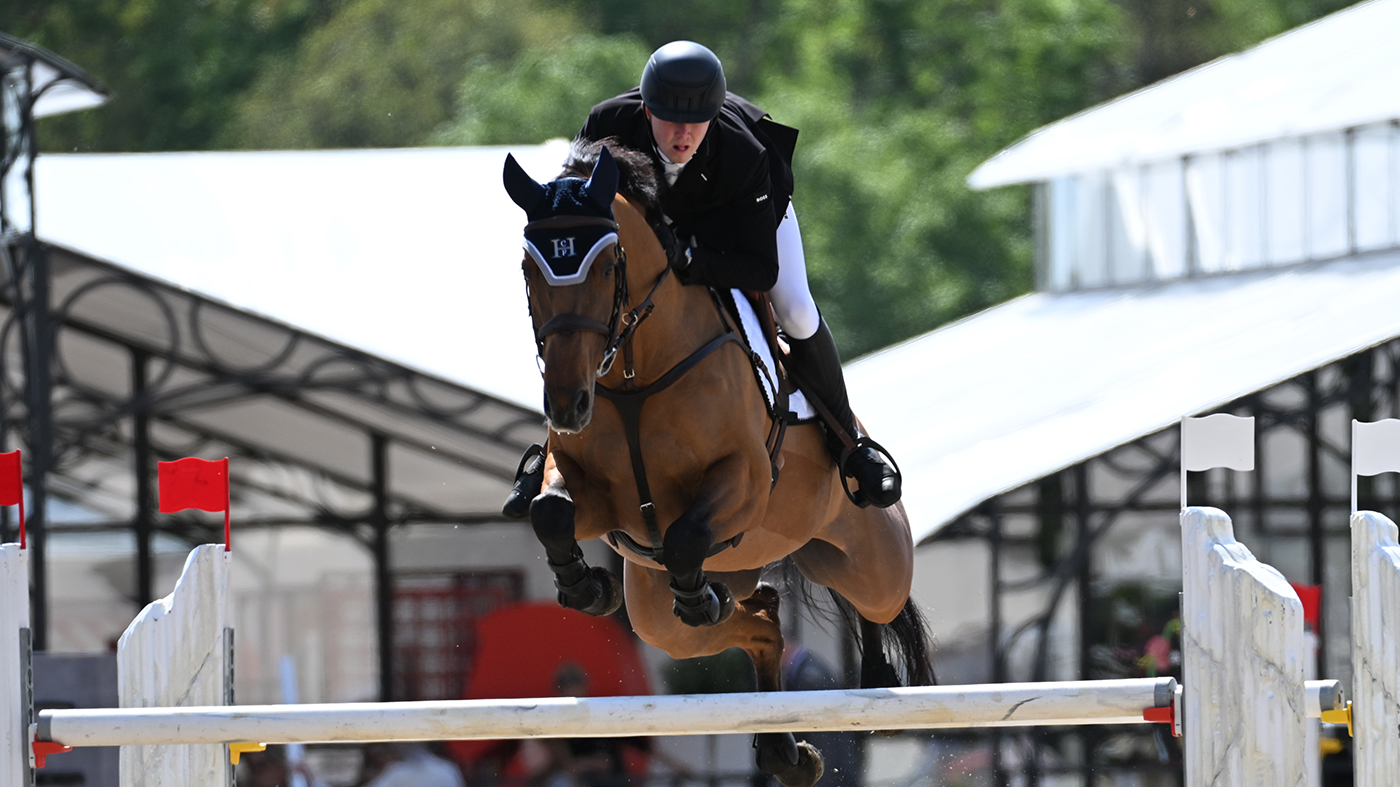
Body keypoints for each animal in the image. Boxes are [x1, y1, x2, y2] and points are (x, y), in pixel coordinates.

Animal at [502, 140, 933, 787]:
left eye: (605, 267)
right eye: (530, 270)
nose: (567, 404)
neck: (635, 371)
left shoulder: (744, 483)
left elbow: (685, 536)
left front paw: (695, 595)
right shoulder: (599, 498)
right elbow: (551, 510)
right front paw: (587, 588)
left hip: (872, 563)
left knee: (875, 602)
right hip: (660, 617)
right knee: (762, 621)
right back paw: (782, 747)